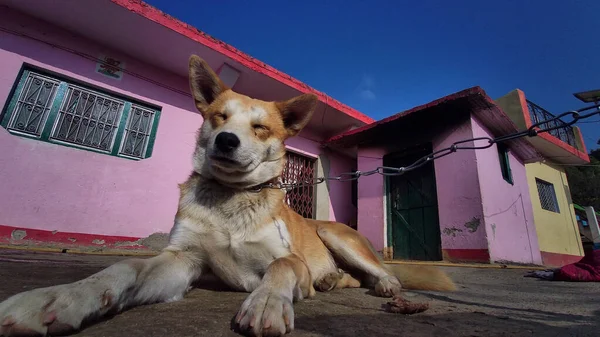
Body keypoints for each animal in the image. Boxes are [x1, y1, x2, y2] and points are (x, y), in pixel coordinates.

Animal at [0, 55, 454, 336]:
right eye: (219, 117)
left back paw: (386, 286)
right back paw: (331, 280)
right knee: (349, 278)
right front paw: (63, 297)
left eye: (260, 127)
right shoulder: (182, 261)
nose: (226, 140)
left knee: (379, 272)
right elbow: (123, 268)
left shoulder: (287, 259)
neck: (232, 199)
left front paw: (266, 302)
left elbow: (281, 267)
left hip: (334, 235)